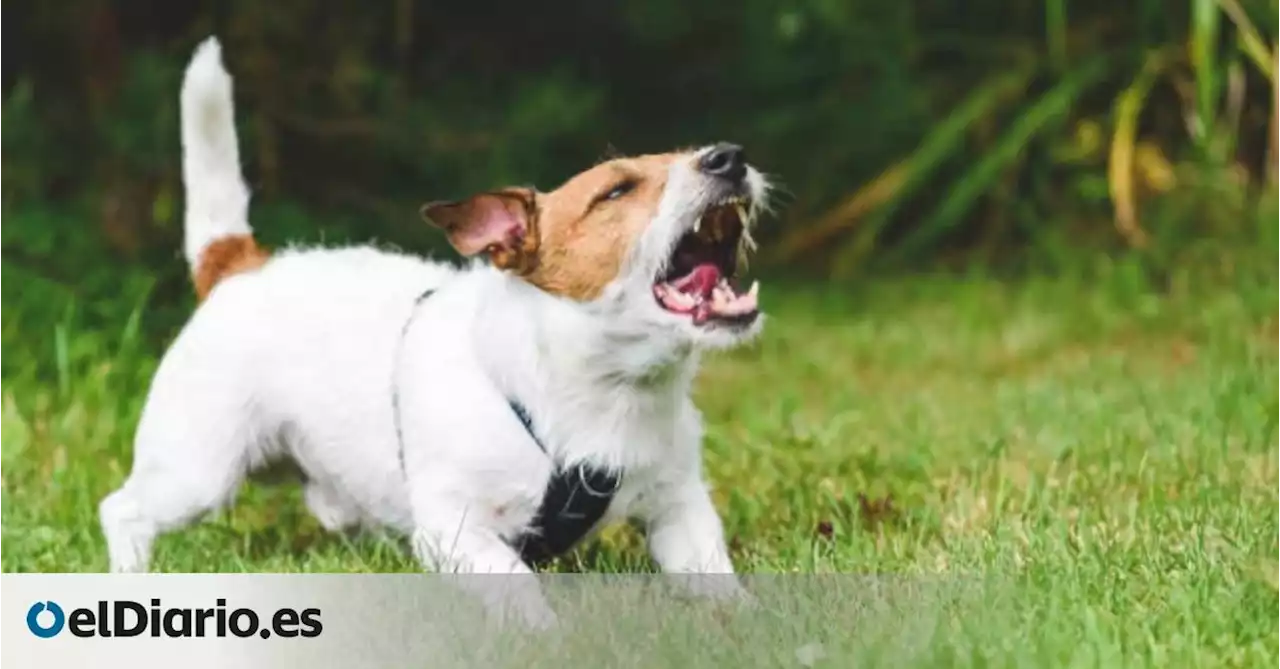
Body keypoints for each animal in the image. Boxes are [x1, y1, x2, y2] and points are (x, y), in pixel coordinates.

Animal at [97, 36, 768, 631]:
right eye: (616, 190)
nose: (729, 156)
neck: (604, 390)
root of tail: (239, 264)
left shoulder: (678, 506)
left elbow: (713, 574)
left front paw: (748, 624)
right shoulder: (456, 527)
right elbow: (516, 581)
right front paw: (549, 637)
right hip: (197, 471)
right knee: (122, 510)